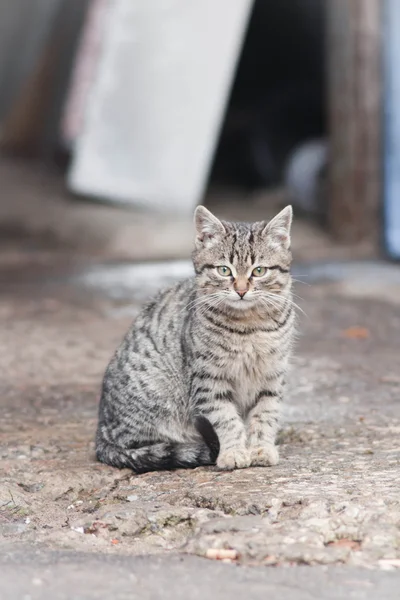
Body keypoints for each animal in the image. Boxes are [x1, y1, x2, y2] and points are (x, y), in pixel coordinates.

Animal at [95, 206, 296, 474]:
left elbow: (265, 414)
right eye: (224, 270)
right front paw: (233, 452)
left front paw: (261, 449)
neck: (249, 327)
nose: (241, 290)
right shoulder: (208, 380)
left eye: (259, 271)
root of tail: (100, 434)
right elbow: (226, 419)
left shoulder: (272, 376)